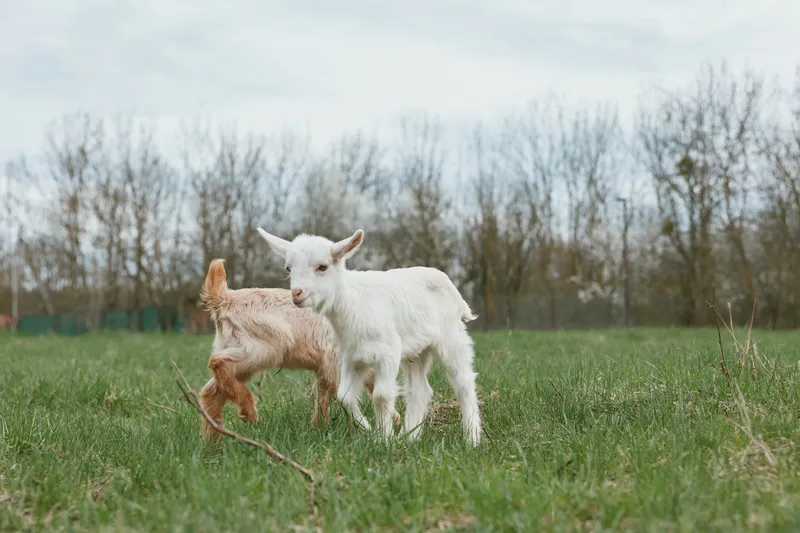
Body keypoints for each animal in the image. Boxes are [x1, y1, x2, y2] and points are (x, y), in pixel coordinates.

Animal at [198, 258, 399, 439]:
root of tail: (225, 299)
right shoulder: (331, 361)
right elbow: (327, 394)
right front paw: (320, 429)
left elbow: (369, 385)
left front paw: (395, 421)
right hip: (265, 349)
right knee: (219, 364)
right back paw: (248, 411)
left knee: (212, 390)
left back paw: (213, 440)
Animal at [256, 228, 482, 446]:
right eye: (288, 268)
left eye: (322, 267)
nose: (297, 294)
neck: (351, 303)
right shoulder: (352, 356)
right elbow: (344, 395)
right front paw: (369, 429)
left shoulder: (388, 353)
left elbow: (381, 395)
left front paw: (384, 439)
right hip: (416, 350)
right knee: (419, 389)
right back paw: (409, 437)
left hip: (451, 337)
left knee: (463, 382)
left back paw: (471, 438)